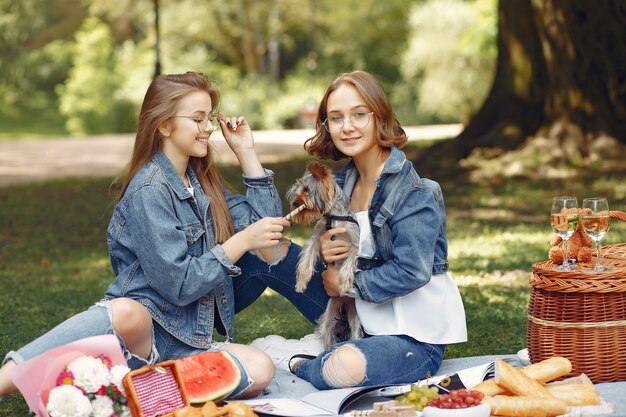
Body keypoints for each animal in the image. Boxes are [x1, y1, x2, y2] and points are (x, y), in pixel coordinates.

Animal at [282, 161, 360, 350]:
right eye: (296, 191)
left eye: (306, 190)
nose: (294, 203)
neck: (334, 216)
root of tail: (344, 304)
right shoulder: (317, 237)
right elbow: (306, 260)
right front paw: (301, 284)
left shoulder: (355, 244)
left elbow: (349, 264)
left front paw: (344, 284)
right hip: (327, 319)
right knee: (327, 333)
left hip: (356, 321)